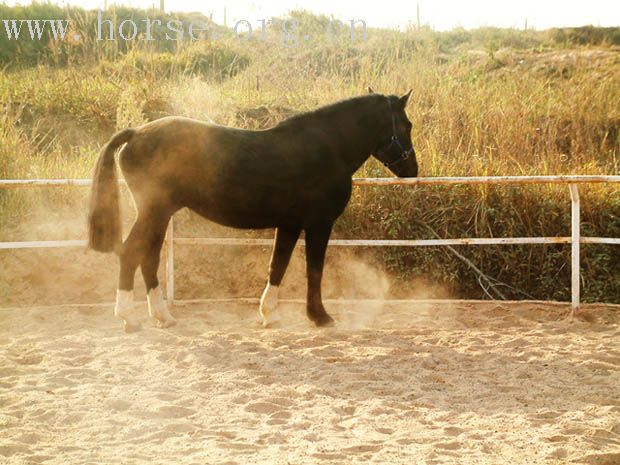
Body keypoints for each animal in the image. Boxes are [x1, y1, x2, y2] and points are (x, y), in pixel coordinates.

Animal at [86, 89, 416, 330]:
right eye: (406, 125)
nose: (413, 170)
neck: (328, 148)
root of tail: (136, 133)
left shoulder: (290, 223)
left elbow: (278, 265)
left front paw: (270, 314)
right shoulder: (318, 223)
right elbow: (314, 269)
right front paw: (320, 317)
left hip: (159, 215)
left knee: (149, 258)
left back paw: (162, 316)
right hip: (153, 213)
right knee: (130, 253)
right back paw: (128, 316)